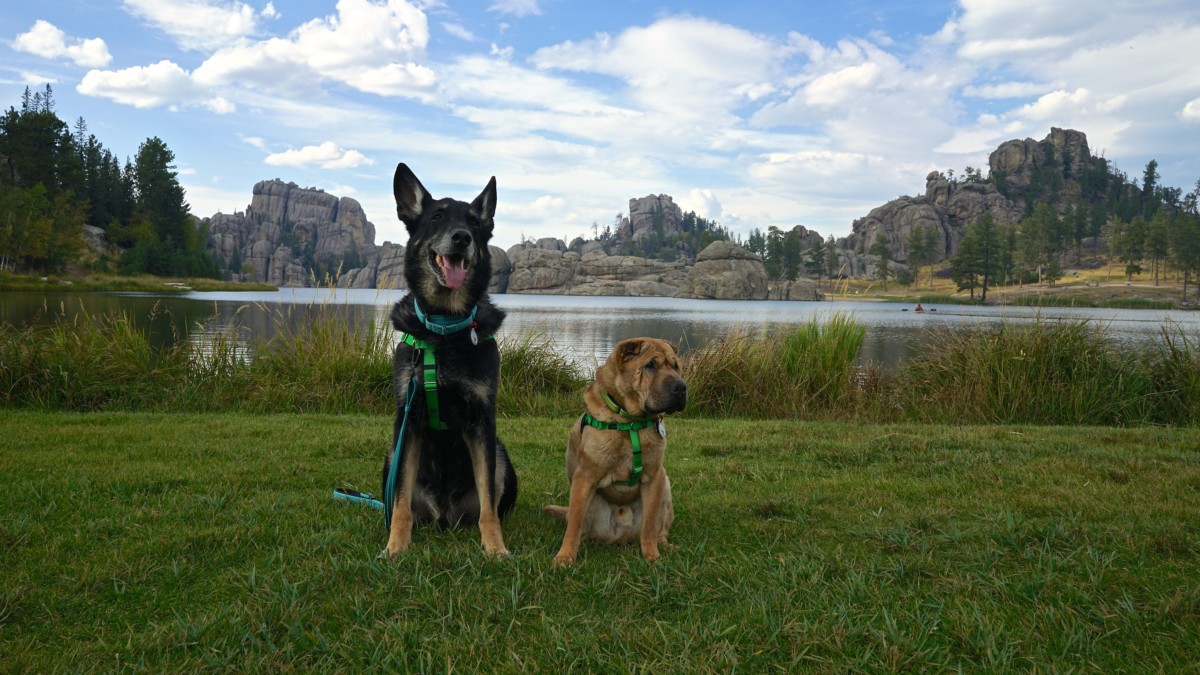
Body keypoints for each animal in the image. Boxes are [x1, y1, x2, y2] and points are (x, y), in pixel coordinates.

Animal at [381, 164, 518, 557]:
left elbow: (489, 504)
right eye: (437, 216)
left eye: (475, 222)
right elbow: (400, 503)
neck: (445, 329)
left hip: (500, 453)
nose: (461, 238)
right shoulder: (407, 421)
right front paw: (395, 547)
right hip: (390, 454)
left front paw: (495, 548)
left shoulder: (482, 421)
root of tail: (444, 514)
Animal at [544, 336, 686, 562]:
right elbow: (573, 524)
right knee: (578, 524)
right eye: (650, 365)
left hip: (665, 485)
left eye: (675, 366)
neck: (630, 422)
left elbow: (649, 524)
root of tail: (622, 534)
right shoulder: (584, 476)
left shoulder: (654, 477)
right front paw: (564, 557)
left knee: (659, 530)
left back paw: (666, 546)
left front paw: (652, 556)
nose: (681, 387)